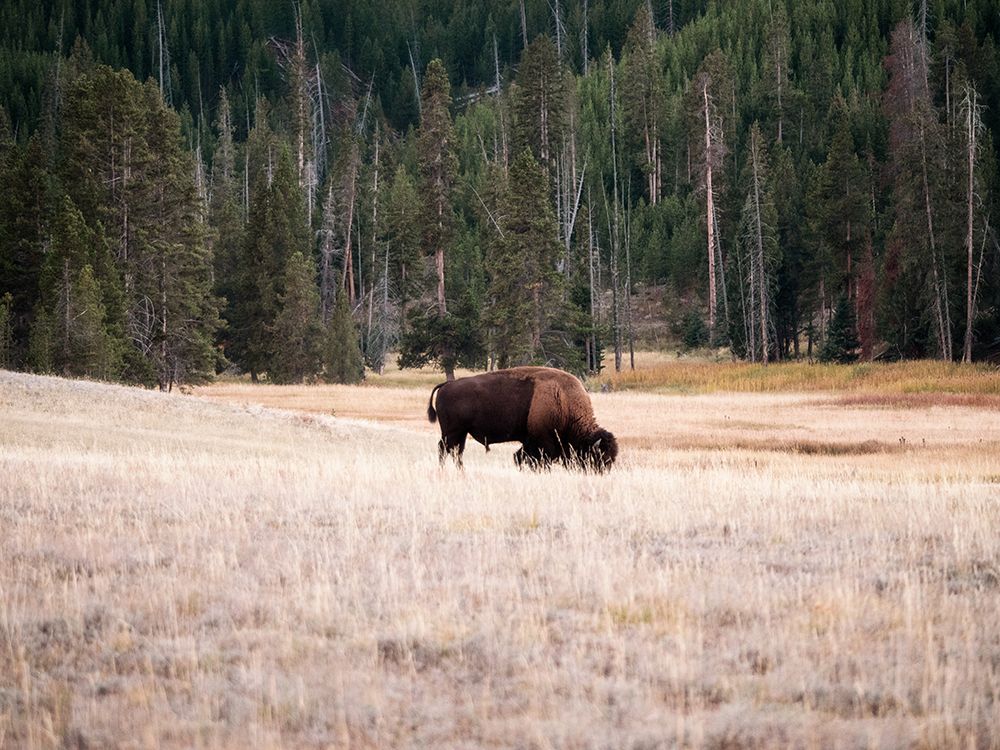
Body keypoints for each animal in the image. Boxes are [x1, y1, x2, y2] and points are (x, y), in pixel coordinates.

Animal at [426, 366, 618, 472]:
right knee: (444, 450)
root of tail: (447, 385)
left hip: (461, 433)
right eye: (598, 457)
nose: (601, 473)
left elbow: (520, 457)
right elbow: (534, 461)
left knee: (456, 452)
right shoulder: (541, 443)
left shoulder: (529, 442)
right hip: (452, 432)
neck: (564, 400)